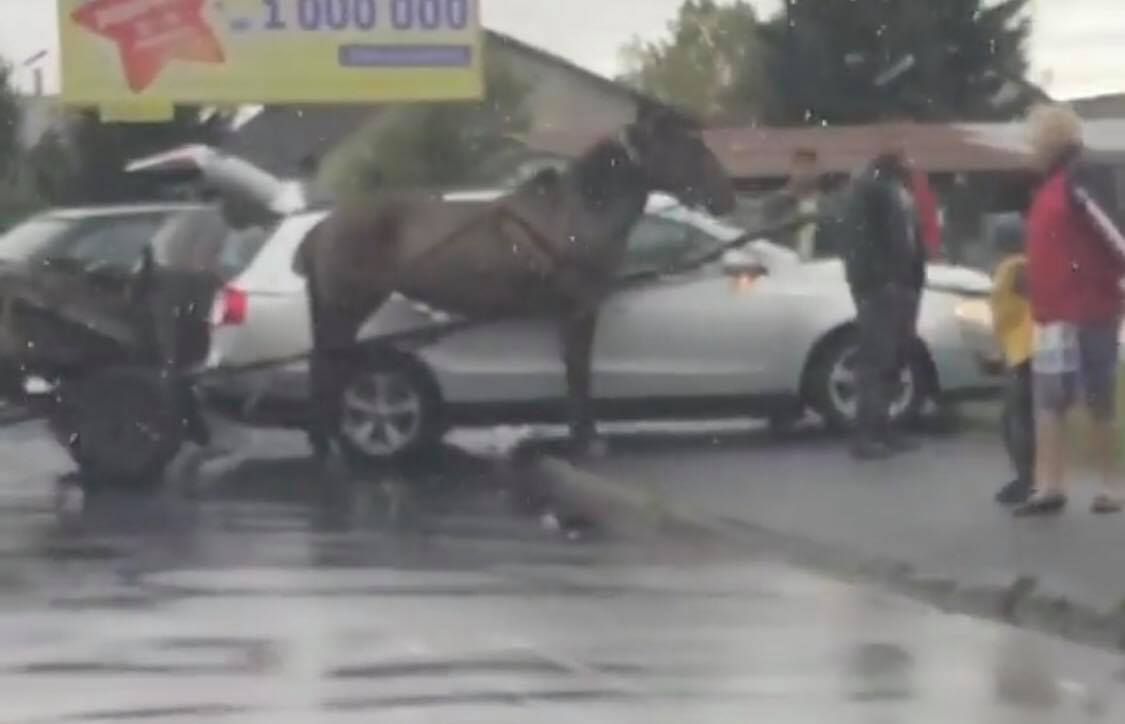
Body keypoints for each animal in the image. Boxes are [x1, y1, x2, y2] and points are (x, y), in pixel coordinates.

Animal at [297, 102, 738, 460]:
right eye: (691, 146)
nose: (726, 196)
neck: (580, 213)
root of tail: (323, 227)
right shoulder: (579, 308)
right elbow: (578, 372)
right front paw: (586, 440)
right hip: (346, 309)